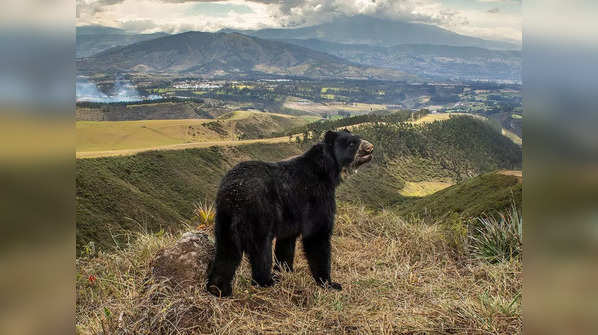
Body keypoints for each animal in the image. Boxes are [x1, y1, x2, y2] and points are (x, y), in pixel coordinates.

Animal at [209, 130, 372, 298]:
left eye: (358, 138)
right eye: (352, 143)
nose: (370, 147)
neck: (326, 171)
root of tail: (234, 193)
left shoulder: (292, 215)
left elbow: (286, 242)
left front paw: (285, 271)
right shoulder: (316, 197)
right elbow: (317, 235)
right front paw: (330, 283)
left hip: (224, 218)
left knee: (227, 251)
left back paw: (218, 288)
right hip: (259, 214)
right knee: (260, 250)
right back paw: (266, 281)